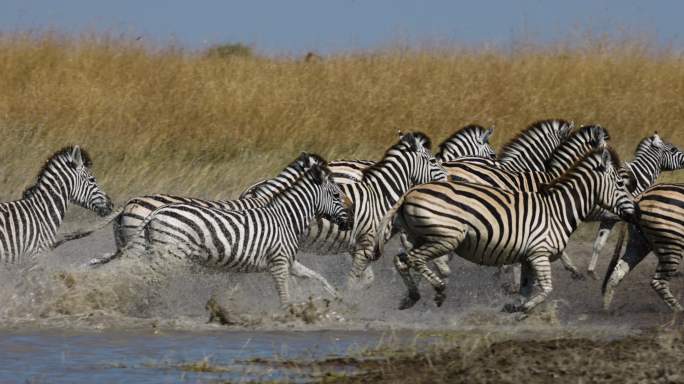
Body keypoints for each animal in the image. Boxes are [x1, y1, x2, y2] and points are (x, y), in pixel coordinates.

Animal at [104, 162, 356, 306]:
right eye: (336, 194)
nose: (352, 219)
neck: (284, 216)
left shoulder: (283, 261)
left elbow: (316, 276)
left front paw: (338, 298)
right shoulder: (278, 261)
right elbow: (284, 291)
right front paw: (288, 312)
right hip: (168, 254)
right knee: (143, 276)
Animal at [374, 147, 636, 312]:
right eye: (620, 183)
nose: (634, 211)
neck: (558, 208)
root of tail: (409, 192)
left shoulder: (528, 257)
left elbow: (527, 288)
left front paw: (515, 304)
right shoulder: (539, 253)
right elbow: (546, 289)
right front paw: (523, 307)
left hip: (421, 235)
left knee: (401, 260)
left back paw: (411, 297)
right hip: (446, 237)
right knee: (414, 259)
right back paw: (438, 290)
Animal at [604, 184, 684, 314]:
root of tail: (639, 197)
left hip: (639, 243)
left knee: (617, 272)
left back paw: (606, 309)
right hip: (672, 245)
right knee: (658, 282)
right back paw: (679, 310)